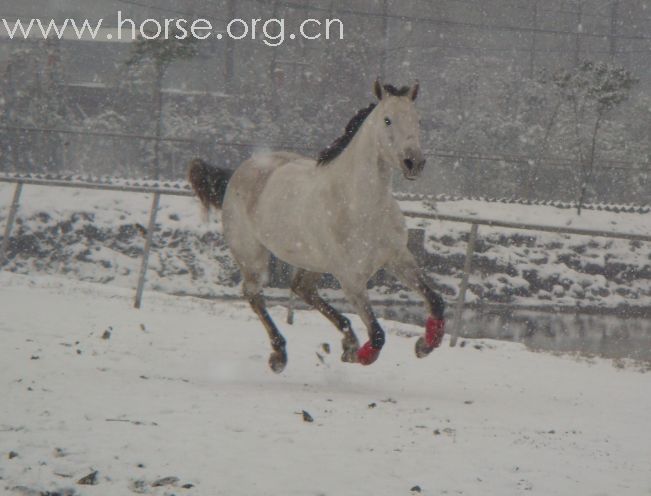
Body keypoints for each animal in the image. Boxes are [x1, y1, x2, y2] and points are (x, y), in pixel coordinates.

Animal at [186, 80, 446, 372]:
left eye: (418, 120)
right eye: (387, 120)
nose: (414, 163)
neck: (363, 207)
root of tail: (237, 174)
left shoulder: (399, 258)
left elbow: (436, 300)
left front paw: (425, 345)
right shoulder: (351, 280)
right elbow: (378, 335)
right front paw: (357, 355)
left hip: (312, 260)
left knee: (302, 288)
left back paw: (347, 340)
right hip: (252, 255)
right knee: (254, 294)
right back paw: (280, 354)